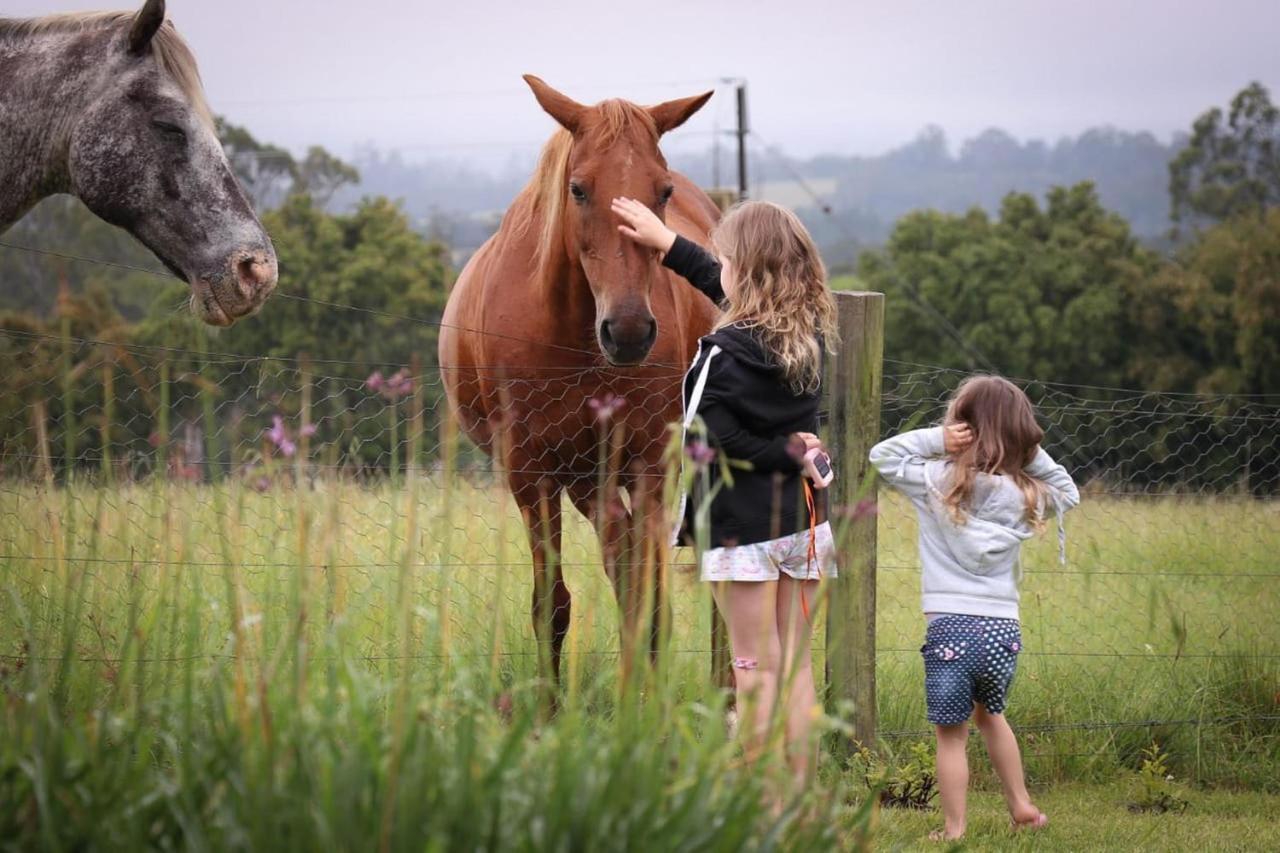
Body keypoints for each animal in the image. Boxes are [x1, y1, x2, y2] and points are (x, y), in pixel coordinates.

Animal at [440, 76, 721, 681]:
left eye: (662, 191)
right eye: (578, 189)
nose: (630, 330)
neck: (575, 339)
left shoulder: (649, 462)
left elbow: (649, 599)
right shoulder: (532, 474)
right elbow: (552, 606)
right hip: (586, 480)